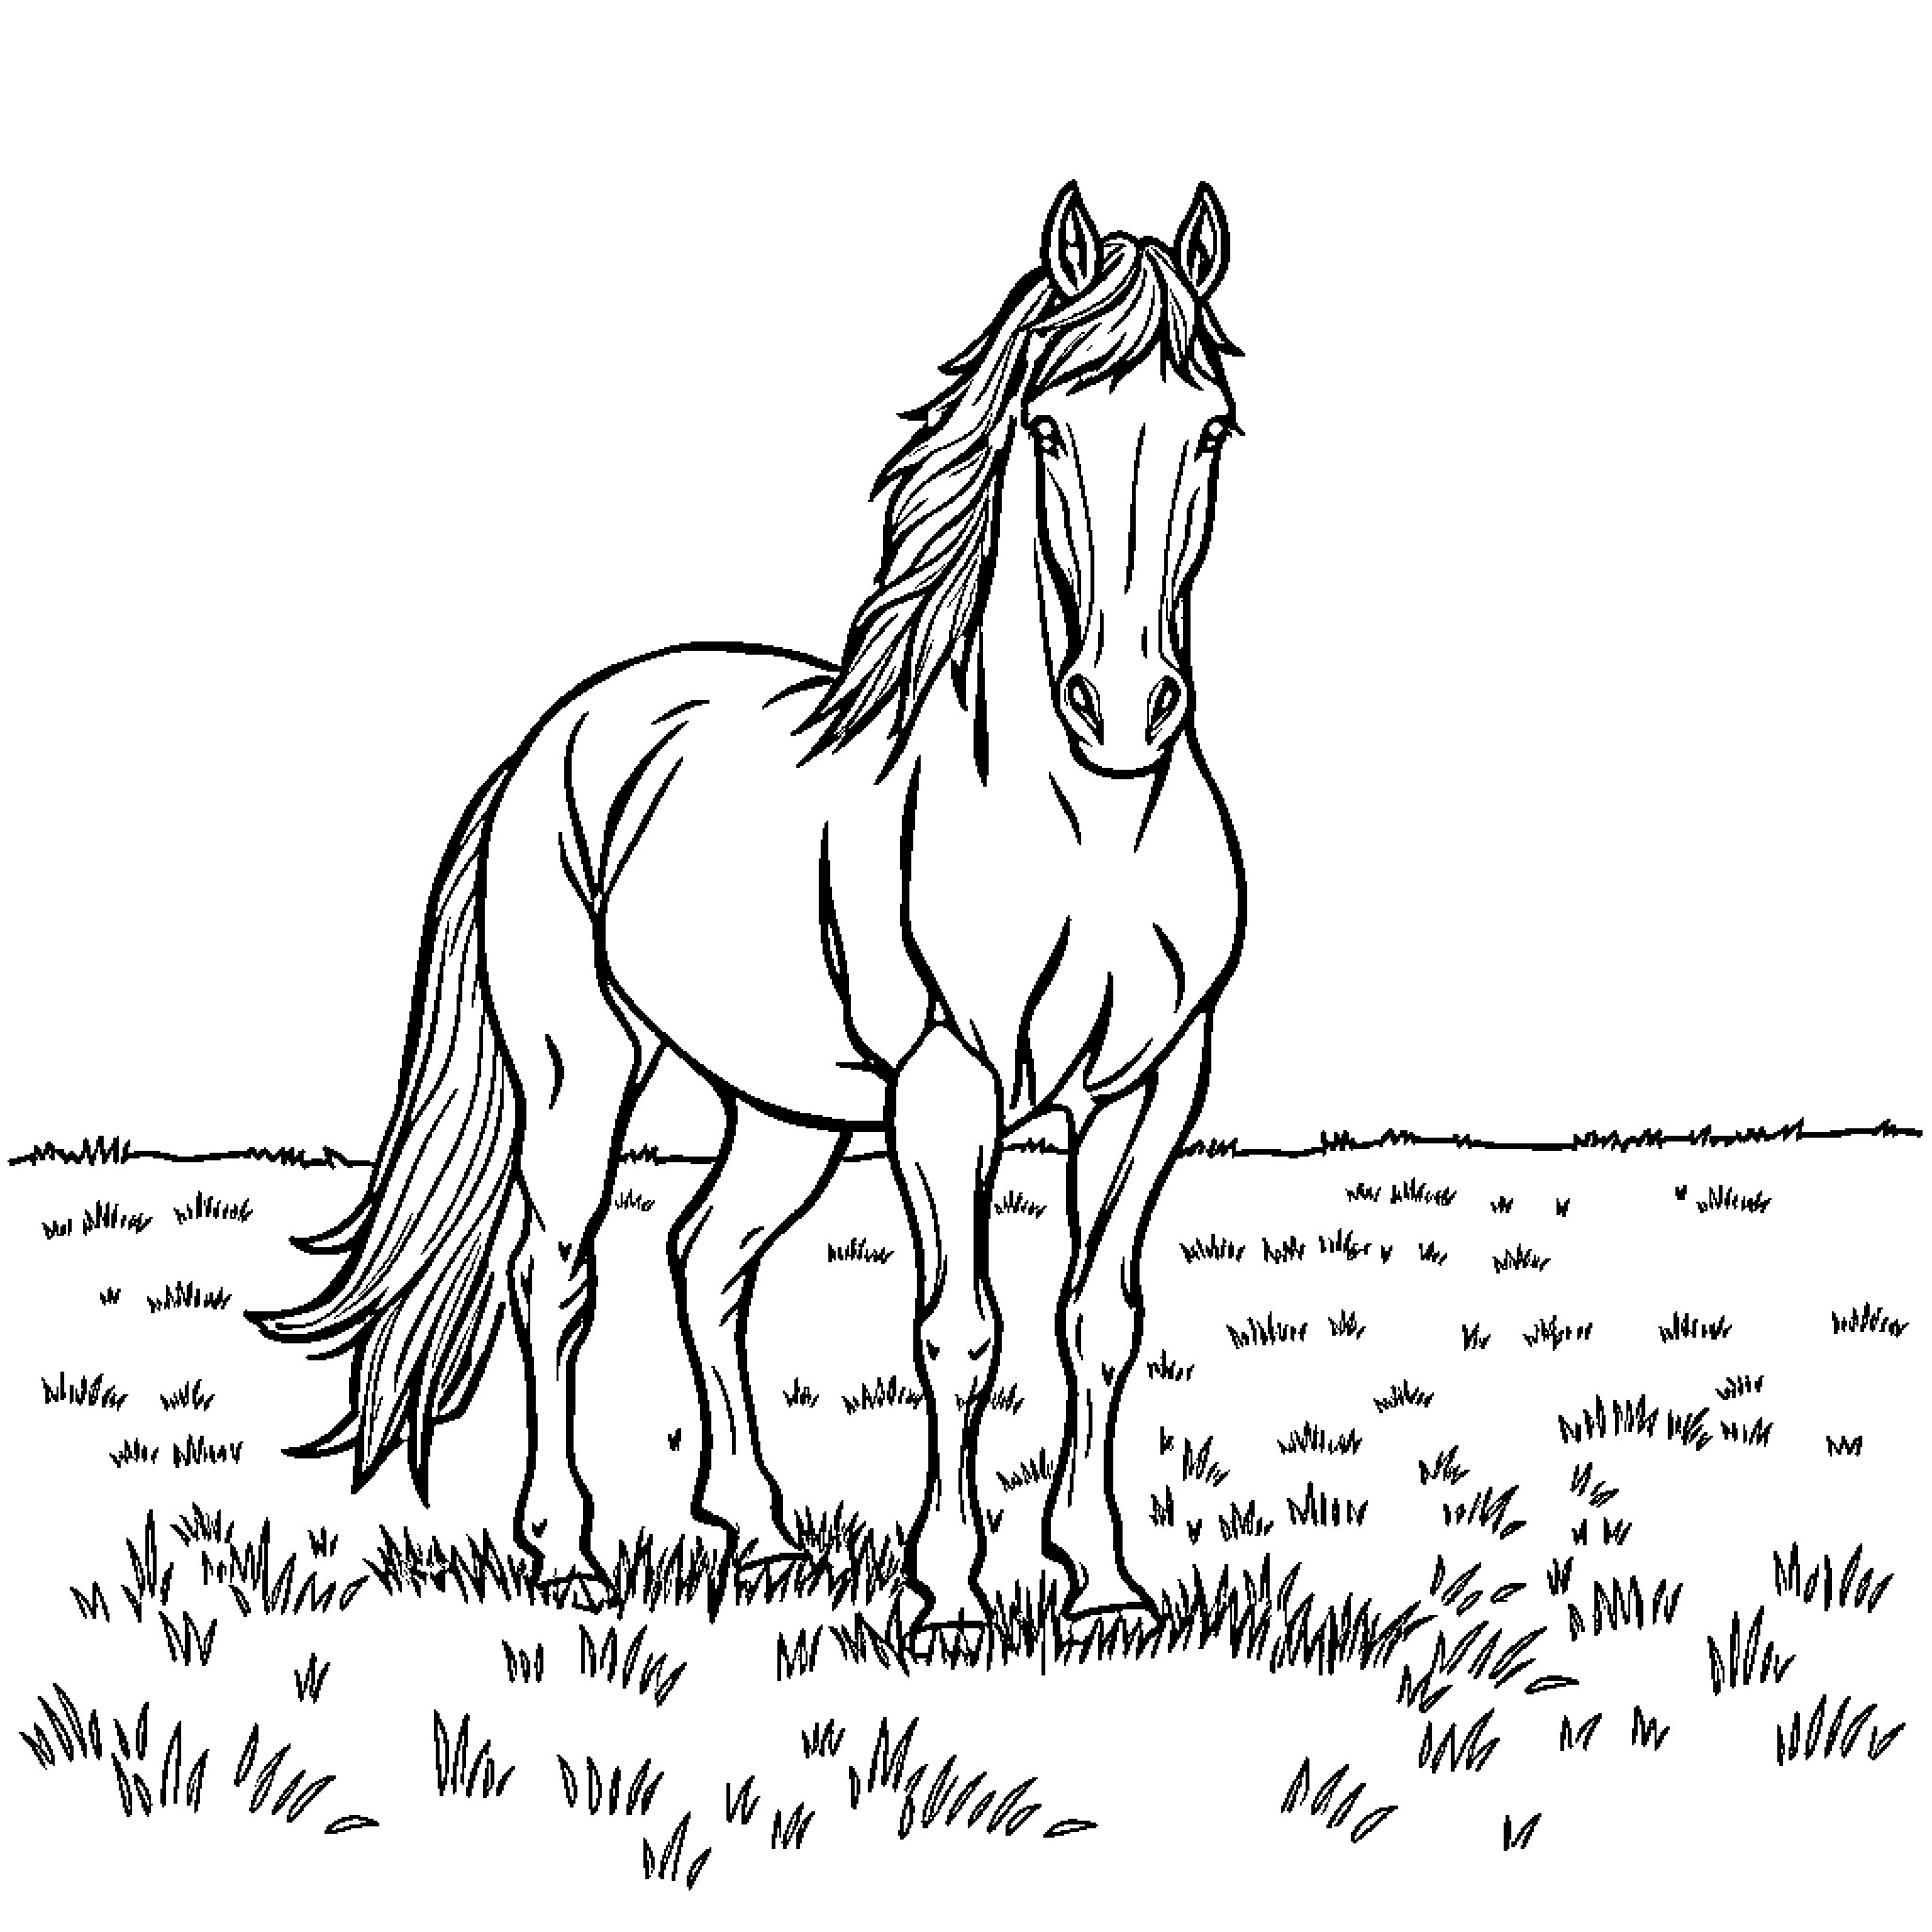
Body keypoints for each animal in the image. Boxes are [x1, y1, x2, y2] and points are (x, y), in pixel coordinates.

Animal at [252, 180, 1248, 1635]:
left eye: (1209, 430)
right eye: (1049, 425)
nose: (1124, 708)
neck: (1087, 832)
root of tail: (555, 737)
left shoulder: (1156, 1090)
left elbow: (1096, 1321)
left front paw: (1107, 1582)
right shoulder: (946, 1091)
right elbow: (959, 1331)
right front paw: (950, 1587)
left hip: (784, 1114)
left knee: (705, 1259)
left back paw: (761, 1528)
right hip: (579, 1070)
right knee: (560, 1273)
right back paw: (568, 1546)